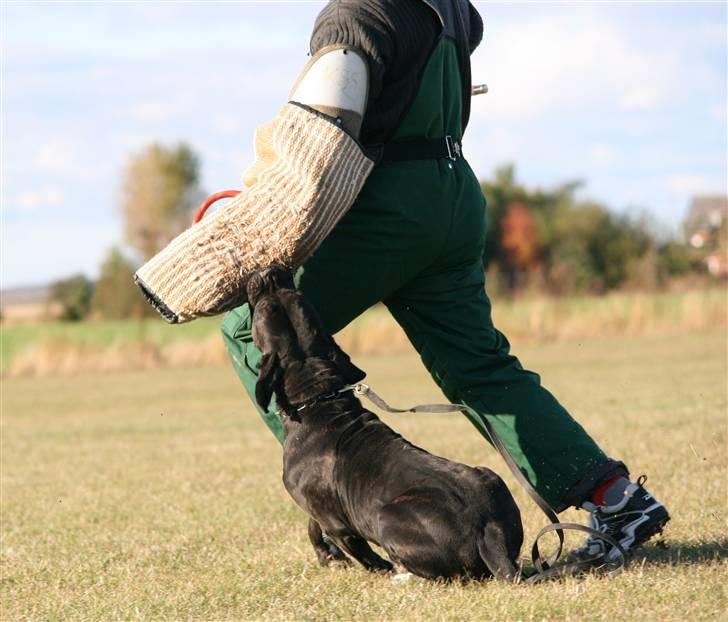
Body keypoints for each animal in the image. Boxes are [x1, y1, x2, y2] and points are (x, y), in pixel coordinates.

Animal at [247, 266, 520, 580]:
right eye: (296, 297)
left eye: (265, 309)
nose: (268, 272)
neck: (317, 396)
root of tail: (489, 532)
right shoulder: (320, 509)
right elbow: (314, 525)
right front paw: (326, 554)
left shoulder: (339, 524)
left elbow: (363, 553)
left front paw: (369, 566)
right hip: (490, 476)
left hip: (386, 517)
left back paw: (404, 577)